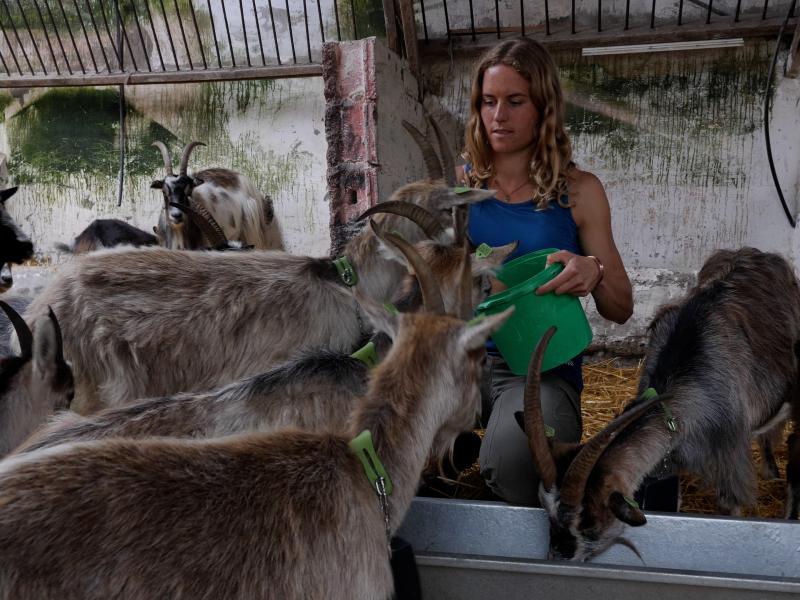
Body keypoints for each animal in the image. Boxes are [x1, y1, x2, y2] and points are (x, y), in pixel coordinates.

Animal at [520, 246, 800, 560]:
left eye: (588, 518)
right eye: (546, 510)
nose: (559, 557)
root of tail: (756, 253)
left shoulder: (730, 460)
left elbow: (731, 507)